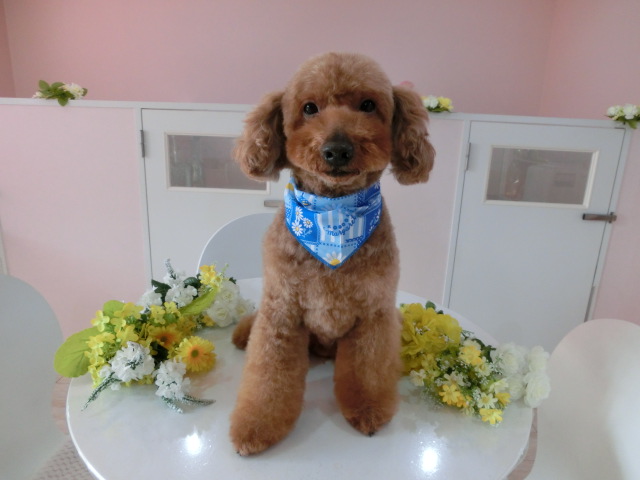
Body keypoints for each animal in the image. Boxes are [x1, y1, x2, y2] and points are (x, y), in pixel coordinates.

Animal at [229, 52, 435, 455]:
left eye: (368, 105)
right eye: (309, 108)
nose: (337, 148)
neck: (333, 216)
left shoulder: (373, 312)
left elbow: (368, 371)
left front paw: (368, 411)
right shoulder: (281, 312)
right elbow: (268, 376)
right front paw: (256, 426)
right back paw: (243, 334)